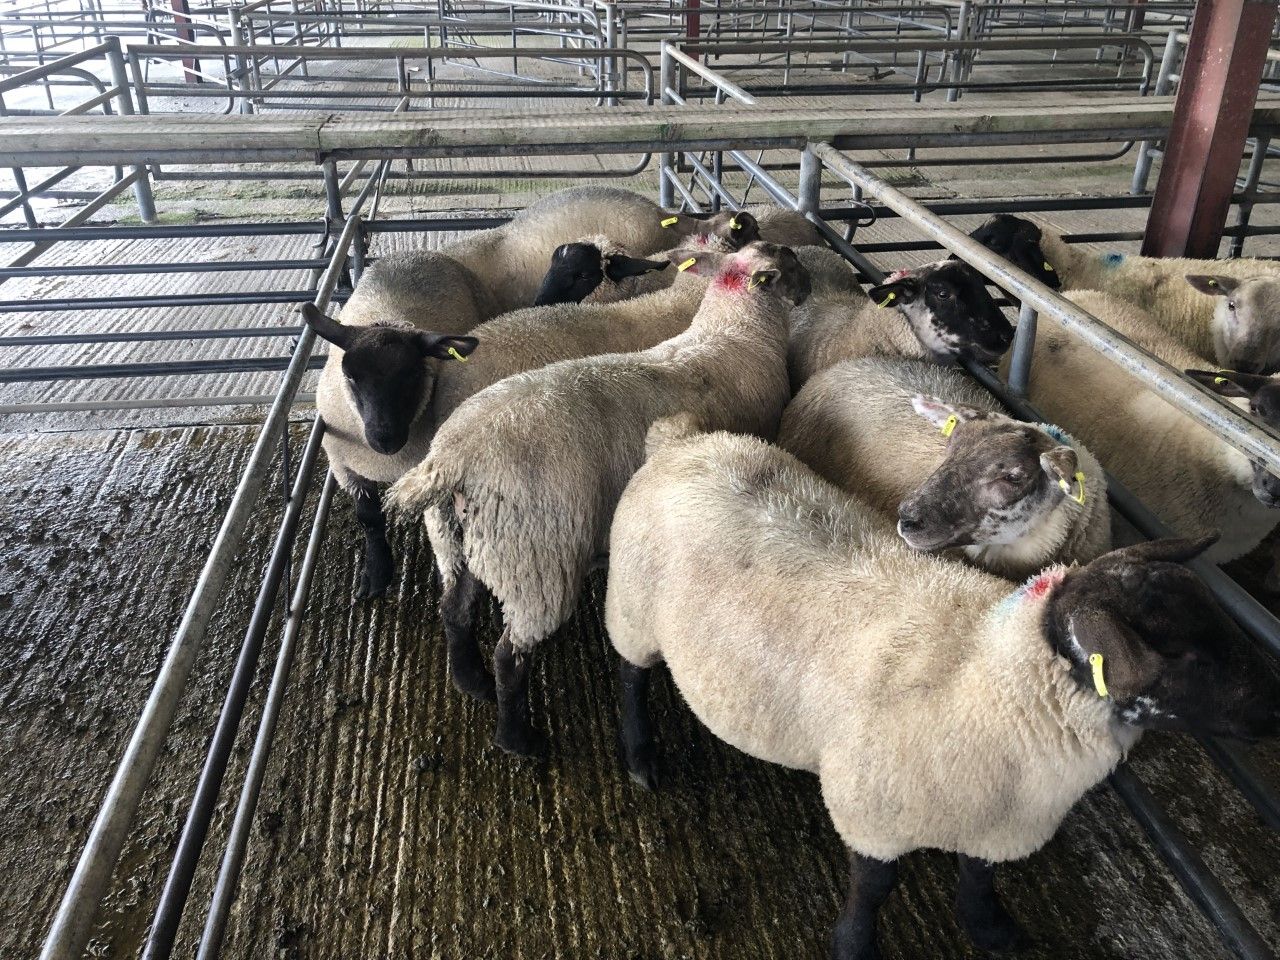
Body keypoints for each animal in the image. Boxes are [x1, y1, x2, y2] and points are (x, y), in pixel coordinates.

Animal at [387, 242, 810, 756]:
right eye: (790, 265)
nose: (811, 286)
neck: (735, 333)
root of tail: (451, 459)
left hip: (462, 541)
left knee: (454, 608)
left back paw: (471, 681)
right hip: (535, 560)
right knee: (511, 655)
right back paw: (518, 739)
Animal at [605, 421, 1280, 959]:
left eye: (1218, 619)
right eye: (1187, 658)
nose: (1278, 700)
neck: (989, 669)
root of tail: (682, 439)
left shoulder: (997, 823)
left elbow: (979, 880)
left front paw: (991, 931)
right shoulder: (872, 811)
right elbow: (873, 891)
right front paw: (853, 945)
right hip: (632, 610)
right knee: (632, 676)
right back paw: (640, 757)